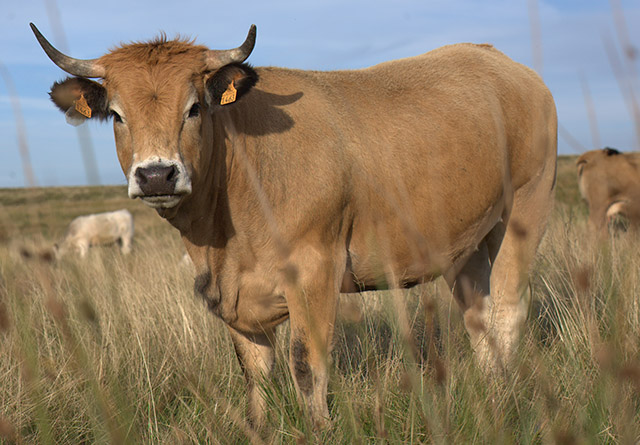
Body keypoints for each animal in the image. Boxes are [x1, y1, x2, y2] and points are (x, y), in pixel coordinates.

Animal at [32, 23, 556, 426]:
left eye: (195, 107)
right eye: (117, 115)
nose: (157, 174)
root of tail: (496, 59)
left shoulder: (315, 269)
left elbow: (307, 366)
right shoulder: (233, 295)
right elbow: (255, 377)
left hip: (526, 207)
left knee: (508, 309)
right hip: (464, 244)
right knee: (479, 318)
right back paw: (491, 393)